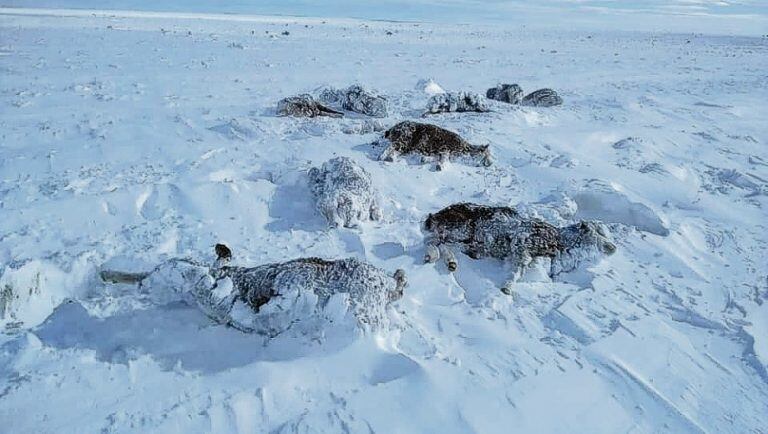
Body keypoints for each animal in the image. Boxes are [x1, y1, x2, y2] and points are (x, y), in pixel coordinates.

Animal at [424, 203, 616, 288]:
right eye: (596, 232)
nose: (612, 248)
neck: (560, 241)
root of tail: (435, 216)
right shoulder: (522, 245)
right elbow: (519, 268)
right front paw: (507, 288)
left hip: (459, 237)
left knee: (438, 242)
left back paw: (450, 262)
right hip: (460, 231)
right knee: (434, 241)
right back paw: (435, 257)